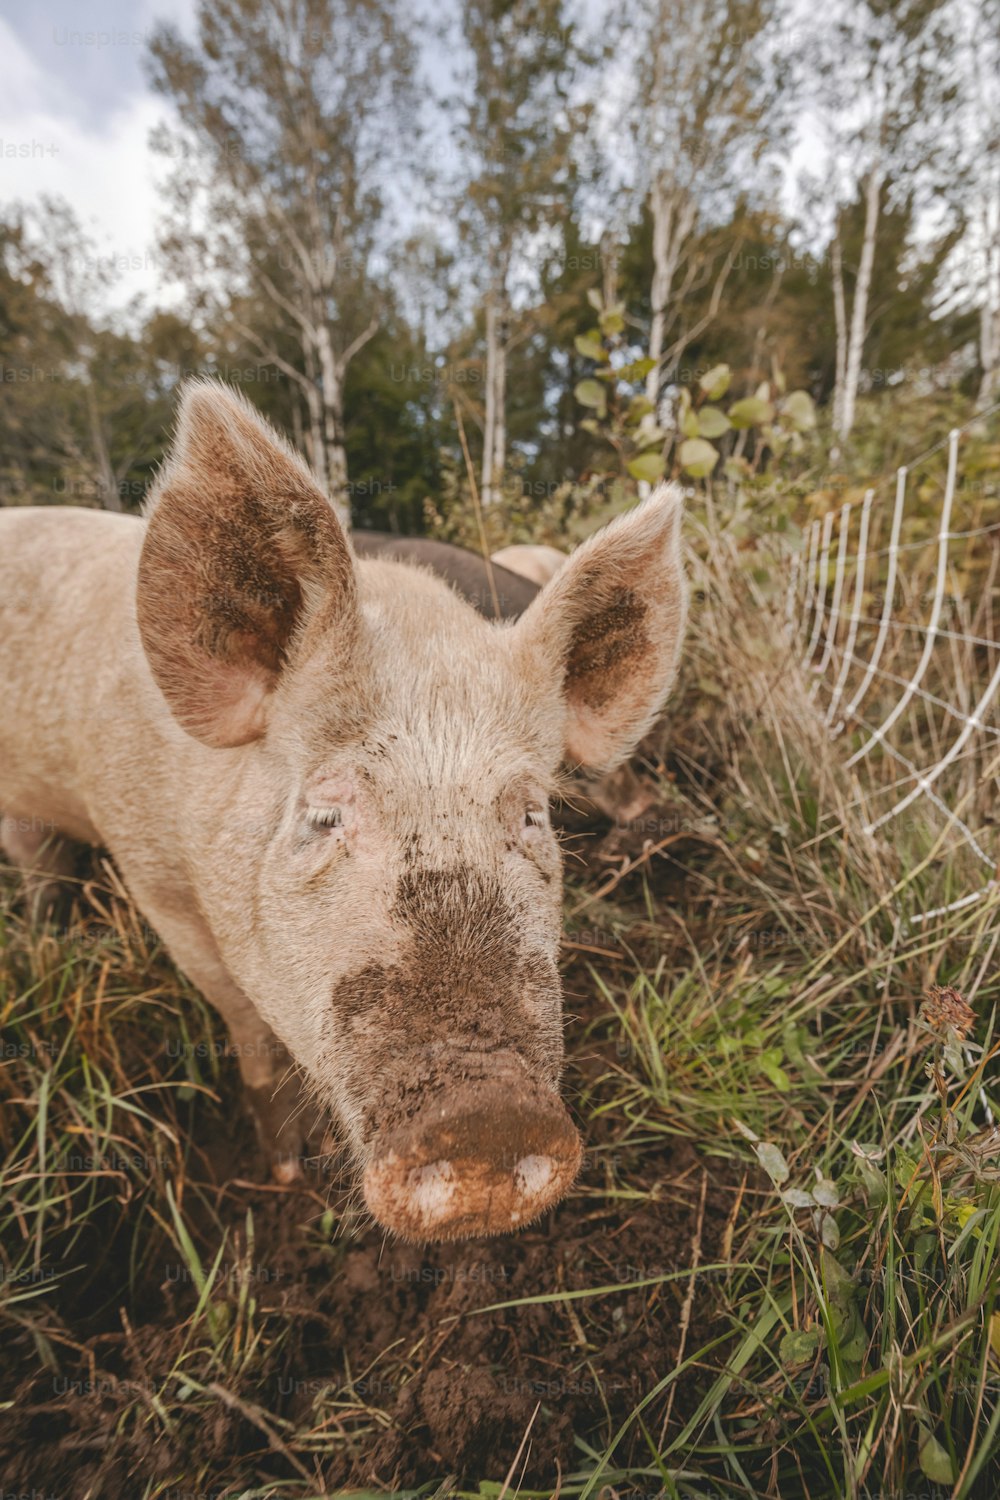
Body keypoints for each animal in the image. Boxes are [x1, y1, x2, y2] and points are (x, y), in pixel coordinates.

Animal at [0, 381, 689, 1236]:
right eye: (324, 817)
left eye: (529, 815)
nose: (489, 1116)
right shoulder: (152, 877)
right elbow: (246, 1023)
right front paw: (287, 1171)